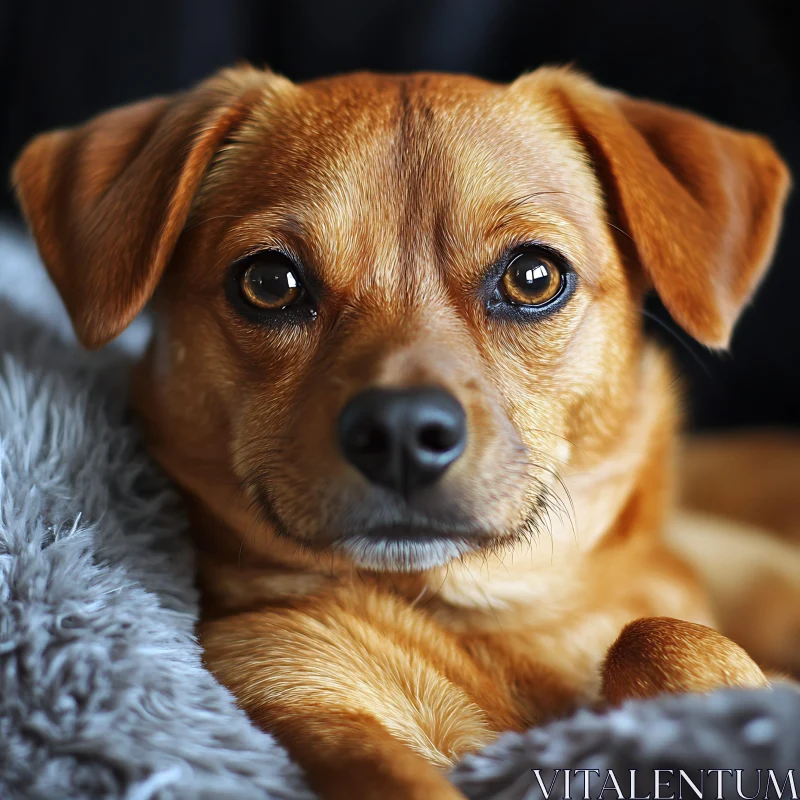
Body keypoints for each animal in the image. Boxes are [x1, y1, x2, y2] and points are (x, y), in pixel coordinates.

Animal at [10, 65, 792, 796]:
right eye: (269, 283)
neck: (492, 622)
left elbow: (661, 635)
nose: (401, 431)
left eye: (534, 277)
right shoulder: (299, 690)